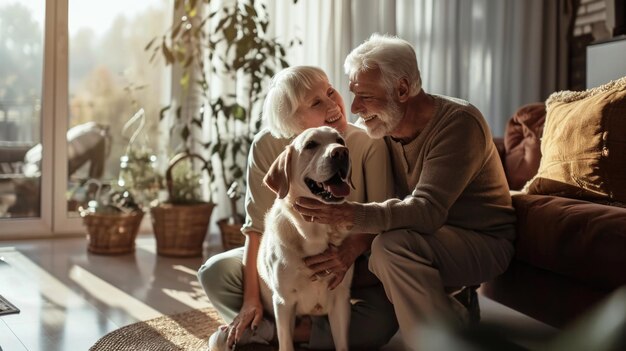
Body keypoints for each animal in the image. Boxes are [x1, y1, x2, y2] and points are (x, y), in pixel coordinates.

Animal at [260, 127, 356, 351]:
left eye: (340, 140)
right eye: (311, 145)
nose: (341, 152)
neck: (314, 234)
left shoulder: (340, 299)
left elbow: (342, 344)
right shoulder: (284, 302)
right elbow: (286, 343)